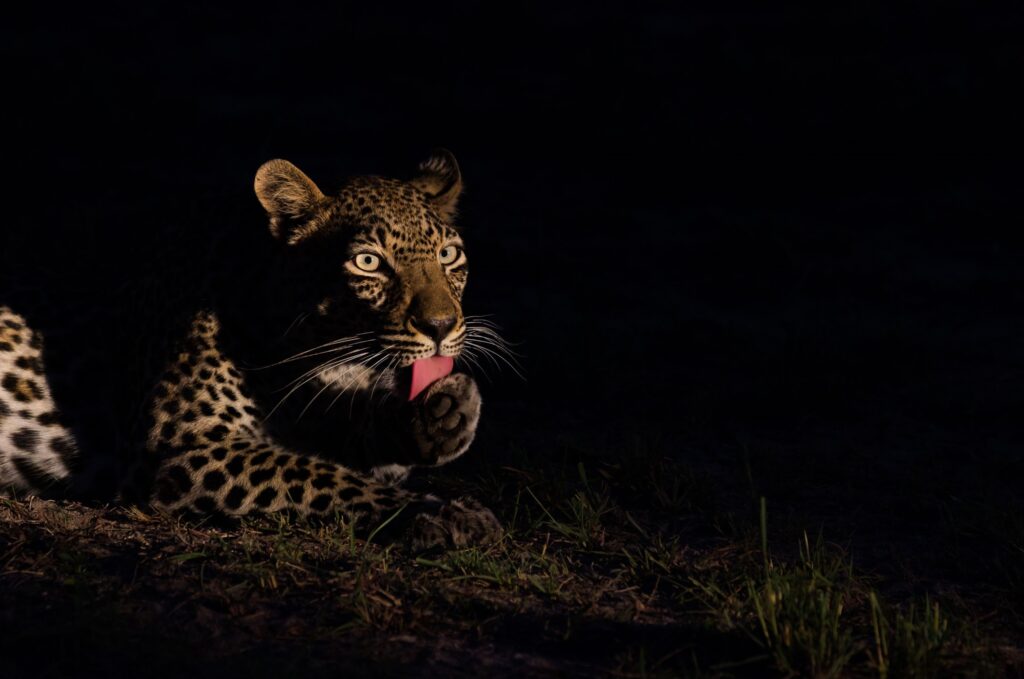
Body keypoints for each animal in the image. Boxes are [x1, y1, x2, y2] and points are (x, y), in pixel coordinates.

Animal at [0, 148, 503, 553]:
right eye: (368, 263)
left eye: (449, 255)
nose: (440, 326)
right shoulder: (187, 447)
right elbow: (325, 476)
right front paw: (442, 512)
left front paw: (444, 413)